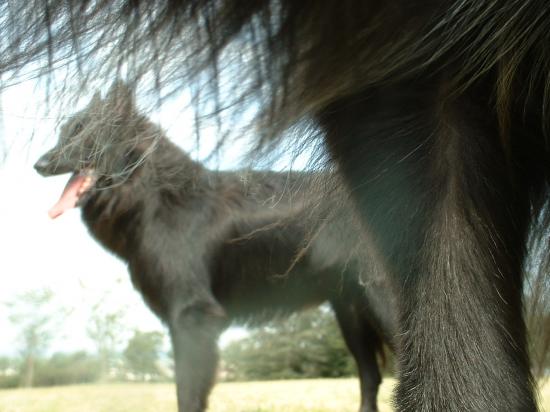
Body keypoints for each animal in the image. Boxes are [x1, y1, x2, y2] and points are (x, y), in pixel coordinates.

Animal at [34, 82, 396, 412]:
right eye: (64, 132)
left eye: (84, 133)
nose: (39, 164)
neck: (158, 199)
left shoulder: (193, 319)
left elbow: (188, 394)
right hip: (351, 311)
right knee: (370, 377)